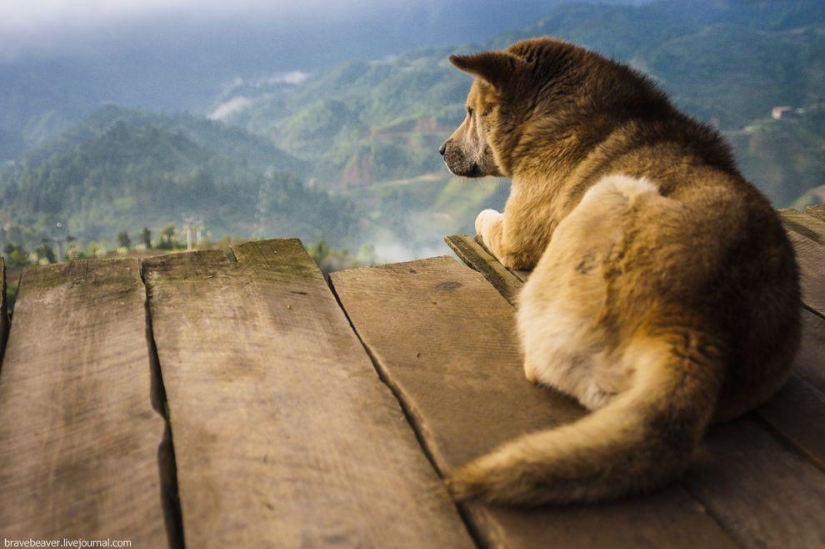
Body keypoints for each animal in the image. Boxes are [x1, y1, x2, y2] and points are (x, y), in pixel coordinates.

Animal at [440, 37, 800, 506]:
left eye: (469, 112)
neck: (556, 115)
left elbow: (486, 217)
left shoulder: (516, 235)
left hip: (610, 193)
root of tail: (694, 326)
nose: (441, 151)